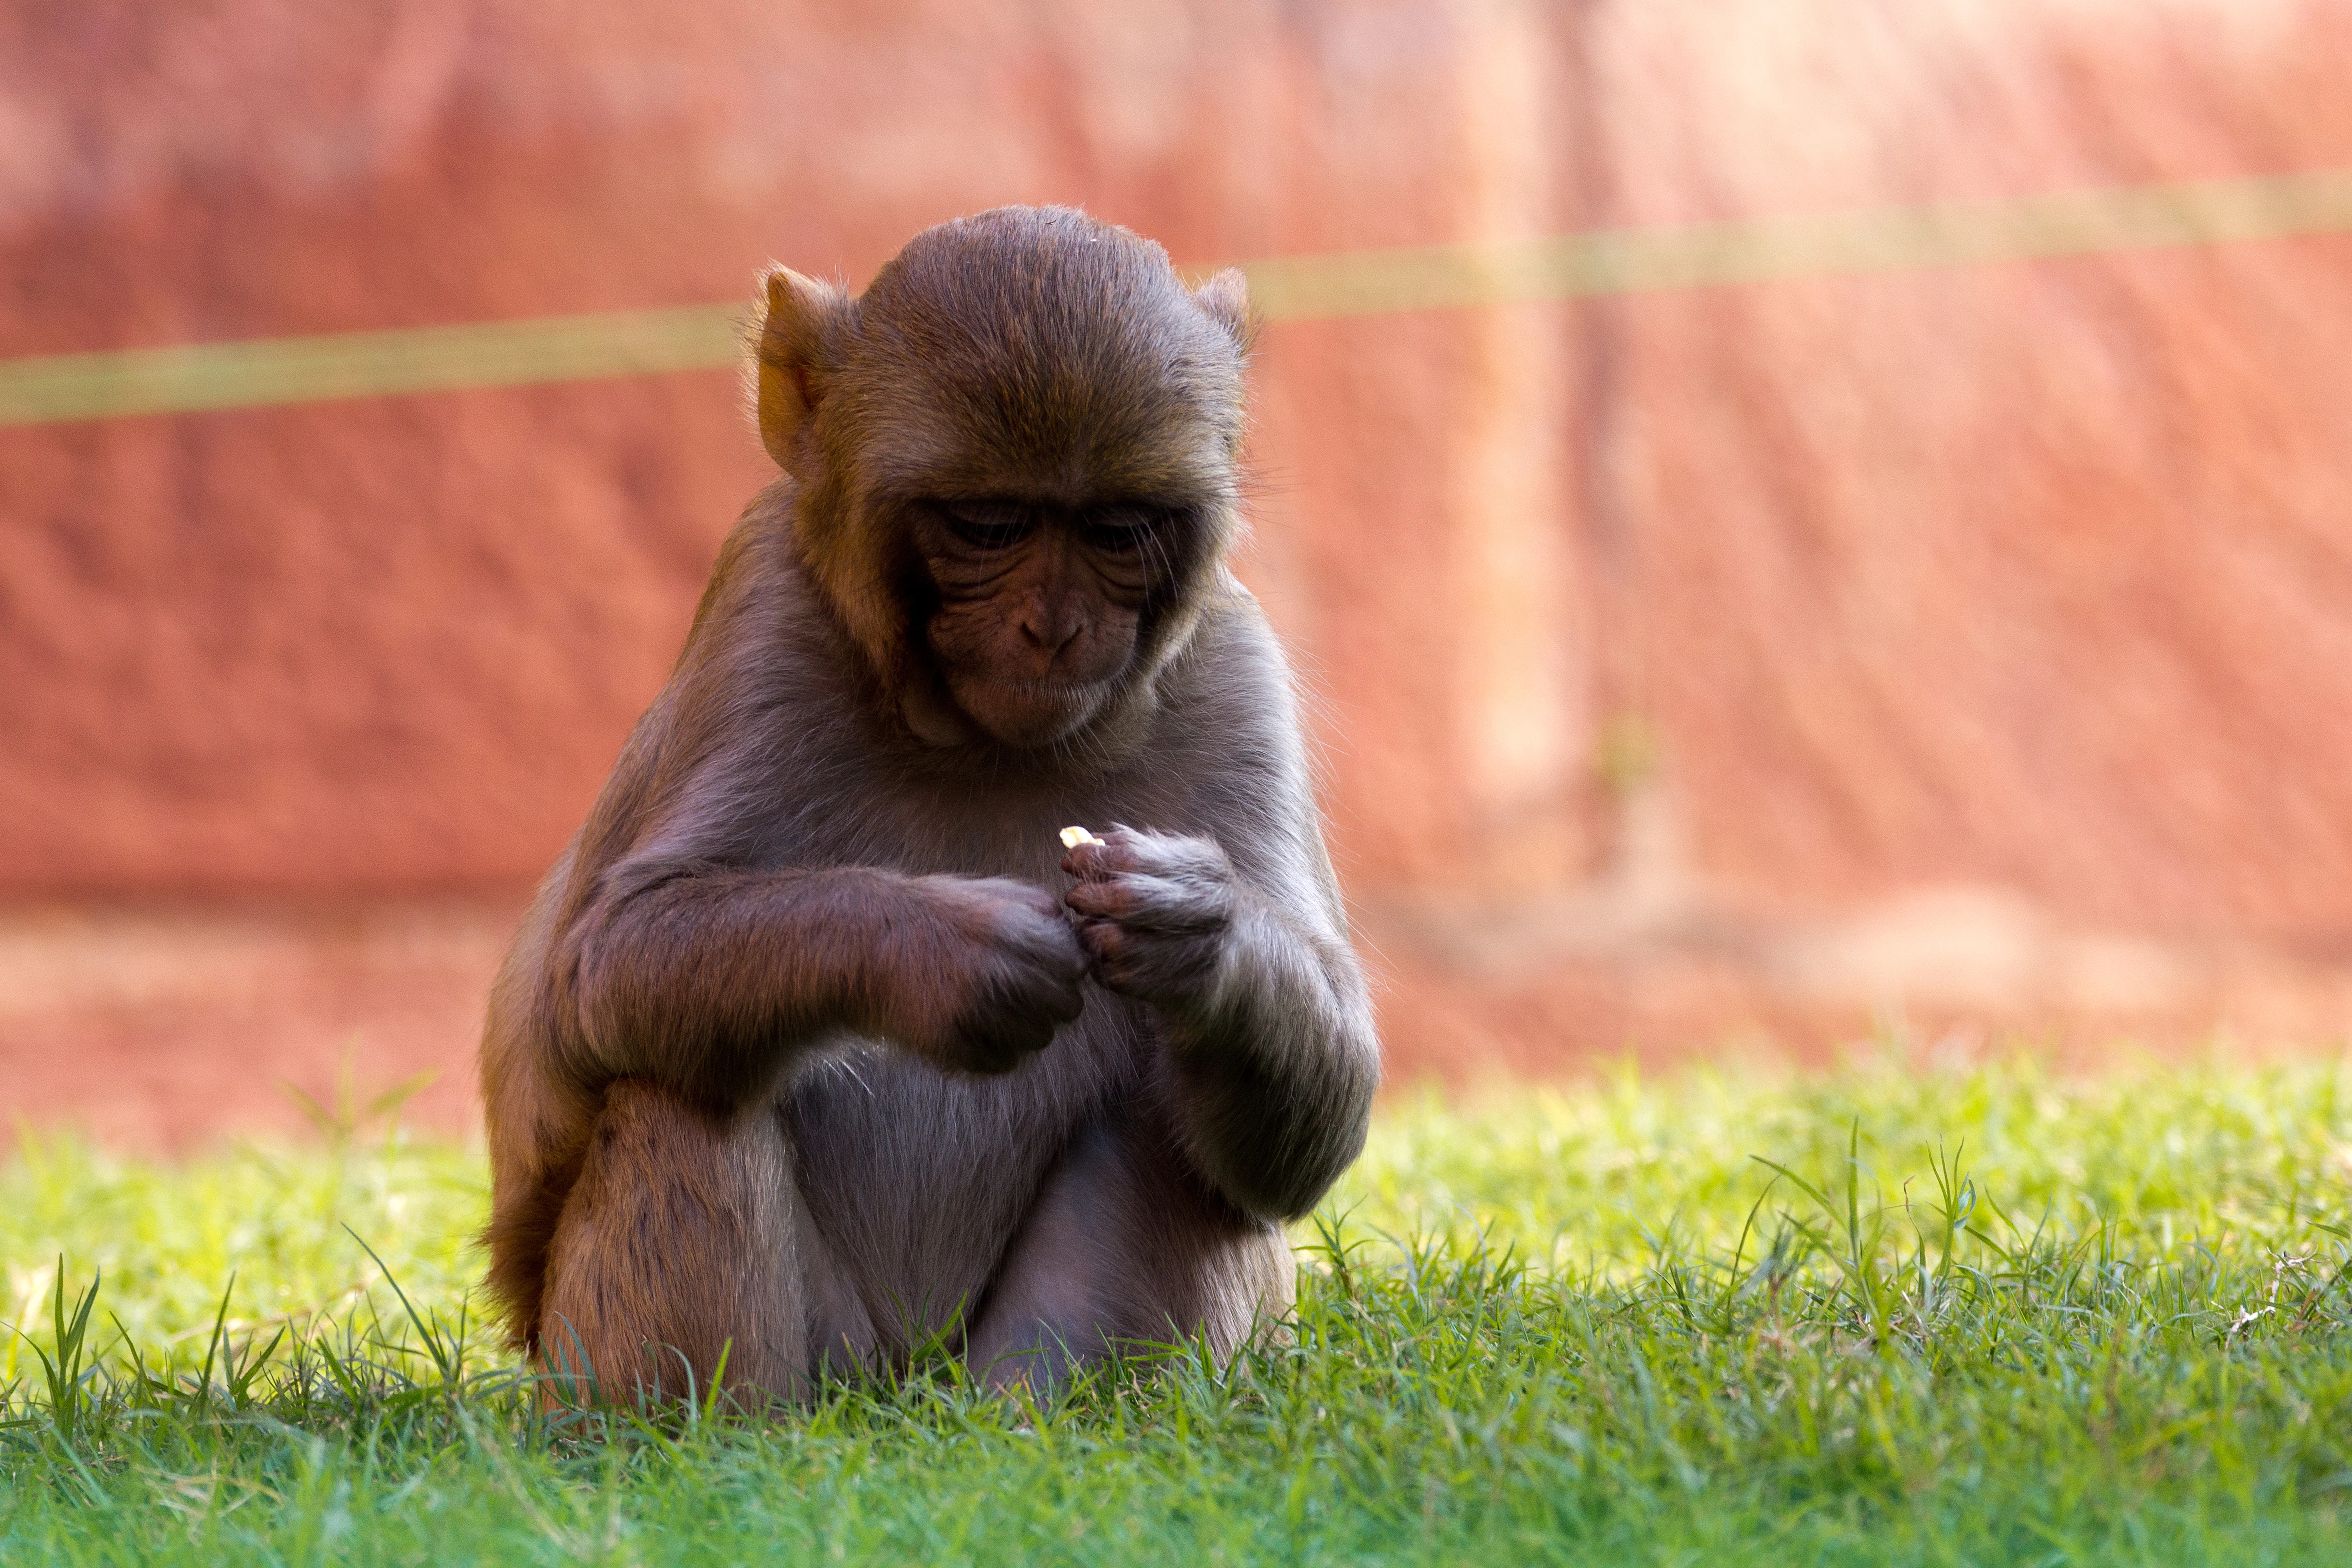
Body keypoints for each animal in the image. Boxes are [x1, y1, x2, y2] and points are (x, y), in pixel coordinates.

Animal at [478, 205, 1380, 1403]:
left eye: (1117, 529)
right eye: (988, 524)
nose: (1053, 628)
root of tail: (915, 1392)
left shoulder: (1238, 667)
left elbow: (1314, 1132)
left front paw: (1198, 928)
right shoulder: (762, 615)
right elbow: (608, 957)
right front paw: (943, 949)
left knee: (1187, 1146)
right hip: (796, 1367)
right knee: (678, 1087)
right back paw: (710, 1440)